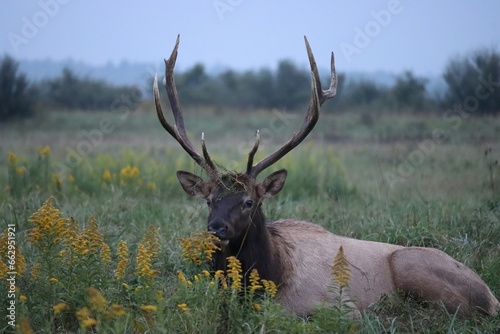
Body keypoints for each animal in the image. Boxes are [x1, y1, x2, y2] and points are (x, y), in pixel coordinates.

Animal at [153, 35, 500, 318]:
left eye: (249, 201)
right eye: (210, 200)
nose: (216, 228)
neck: (275, 274)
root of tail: (492, 296)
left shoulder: (339, 306)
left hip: (413, 269)